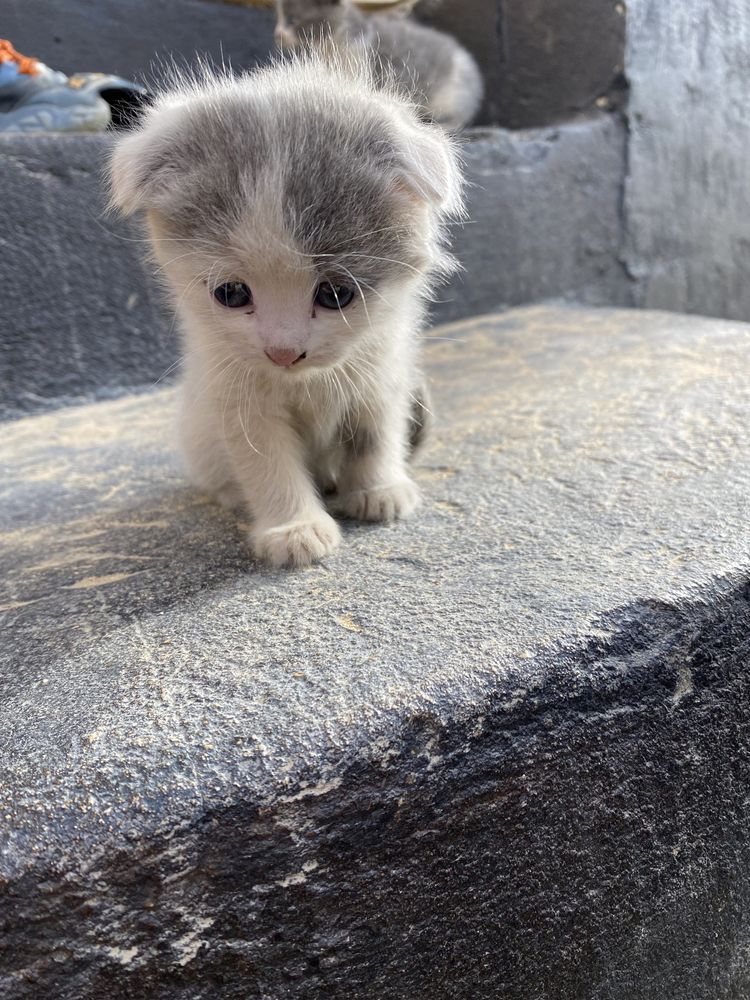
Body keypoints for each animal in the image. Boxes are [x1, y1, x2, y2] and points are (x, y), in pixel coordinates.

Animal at [109, 58, 464, 568]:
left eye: (336, 294)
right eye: (231, 293)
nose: (283, 352)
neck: (306, 382)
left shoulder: (381, 369)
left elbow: (374, 432)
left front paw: (378, 490)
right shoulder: (236, 396)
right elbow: (267, 462)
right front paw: (294, 528)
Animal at [274, 0, 482, 129]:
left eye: (293, 20)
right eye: (279, 17)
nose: (277, 34)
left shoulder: (363, 66)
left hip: (455, 94)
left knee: (460, 116)